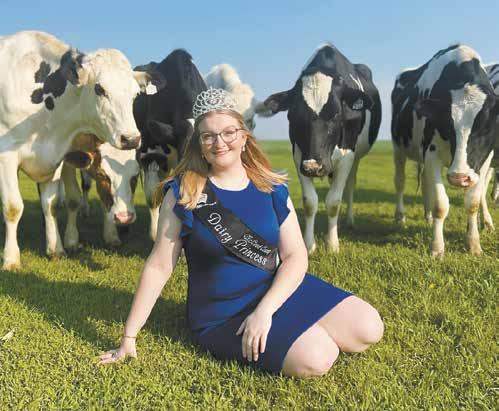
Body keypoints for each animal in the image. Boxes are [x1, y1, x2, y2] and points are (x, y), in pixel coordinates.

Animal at [0, 31, 162, 269]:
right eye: (100, 89)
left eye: (135, 95)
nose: (131, 138)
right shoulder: (7, 156)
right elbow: (13, 207)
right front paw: (11, 259)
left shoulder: (57, 156)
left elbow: (53, 203)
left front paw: (56, 247)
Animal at [256, 43, 381, 253]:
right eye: (293, 115)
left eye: (336, 113)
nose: (314, 167)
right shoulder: (300, 157)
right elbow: (310, 202)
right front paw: (308, 245)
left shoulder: (348, 156)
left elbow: (334, 202)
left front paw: (332, 244)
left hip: (355, 159)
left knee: (350, 185)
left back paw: (349, 221)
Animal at [391, 44, 498, 257]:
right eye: (447, 124)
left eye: (485, 125)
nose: (459, 177)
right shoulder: (432, 154)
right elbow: (441, 204)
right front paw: (437, 248)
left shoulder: (484, 160)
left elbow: (473, 202)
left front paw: (474, 245)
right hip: (399, 148)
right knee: (400, 181)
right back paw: (400, 216)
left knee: (425, 182)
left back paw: (427, 216)